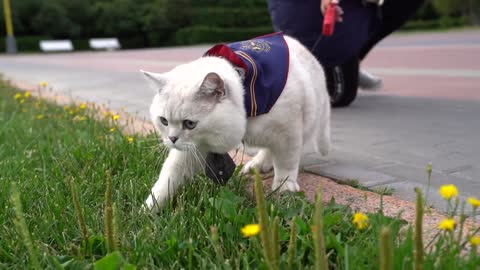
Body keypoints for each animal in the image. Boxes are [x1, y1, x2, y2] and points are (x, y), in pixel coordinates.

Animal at [141, 33, 332, 211]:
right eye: (164, 121)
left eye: (189, 124)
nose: (172, 139)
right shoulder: (194, 148)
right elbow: (168, 177)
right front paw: (148, 210)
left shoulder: (288, 132)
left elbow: (286, 162)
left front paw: (284, 188)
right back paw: (258, 165)